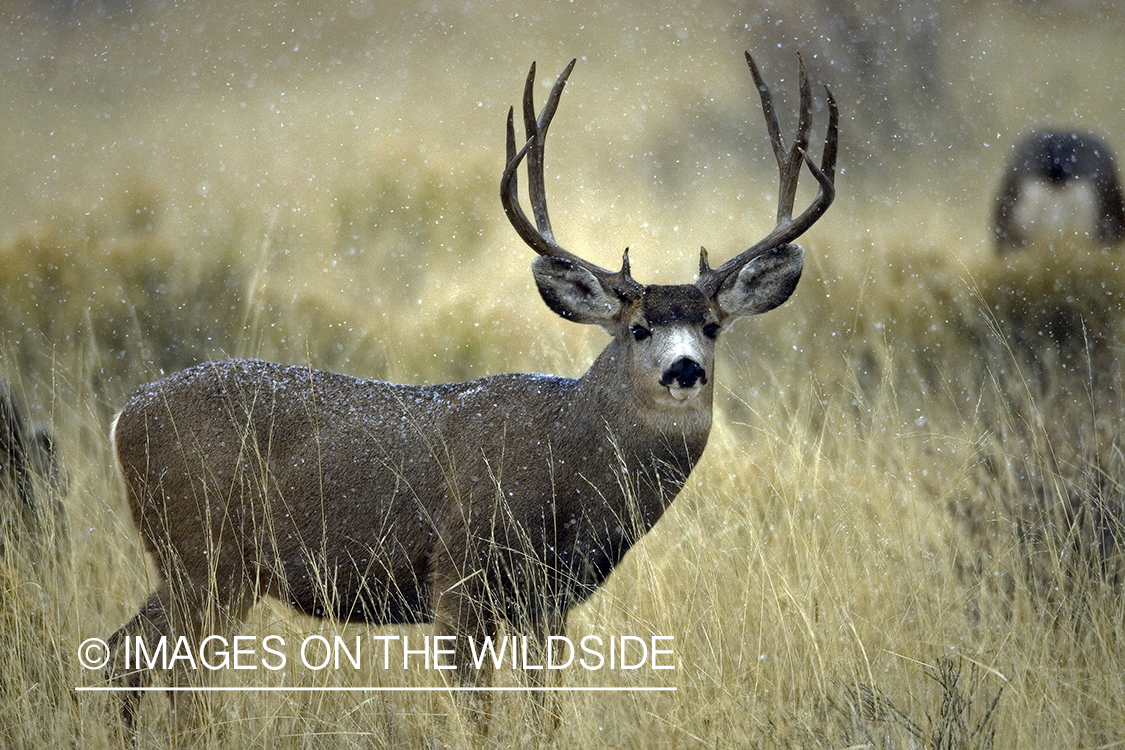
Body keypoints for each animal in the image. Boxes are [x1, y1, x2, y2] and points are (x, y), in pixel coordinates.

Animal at [104, 52, 836, 735]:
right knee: (156, 665)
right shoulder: (456, 577)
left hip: (202, 565)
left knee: (130, 656)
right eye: (638, 328)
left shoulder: (548, 602)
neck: (568, 458)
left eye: (711, 326)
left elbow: (546, 711)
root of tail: (123, 416)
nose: (684, 370)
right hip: (203, 553)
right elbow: (477, 712)